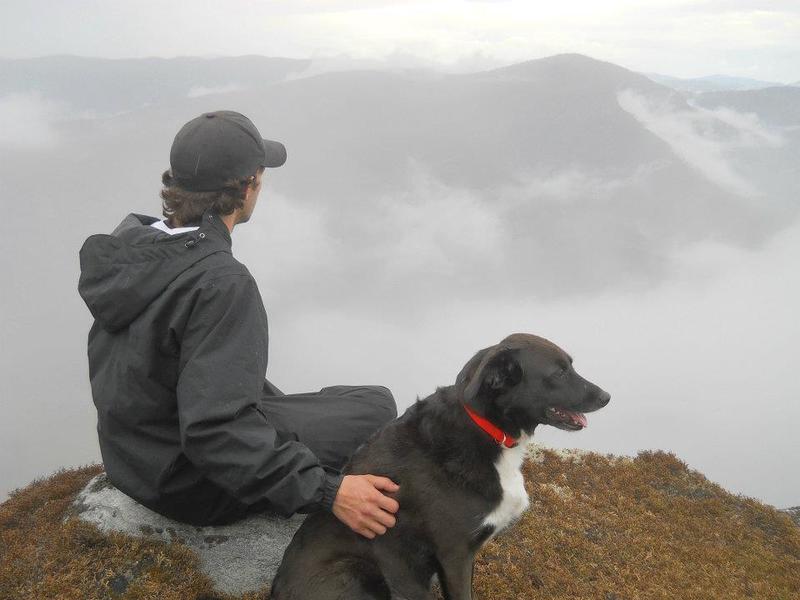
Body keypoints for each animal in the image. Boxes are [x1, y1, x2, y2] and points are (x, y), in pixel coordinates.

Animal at [270, 332, 612, 600]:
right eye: (559, 372)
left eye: (571, 365)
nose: (607, 396)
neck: (487, 431)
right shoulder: (455, 554)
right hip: (360, 572)